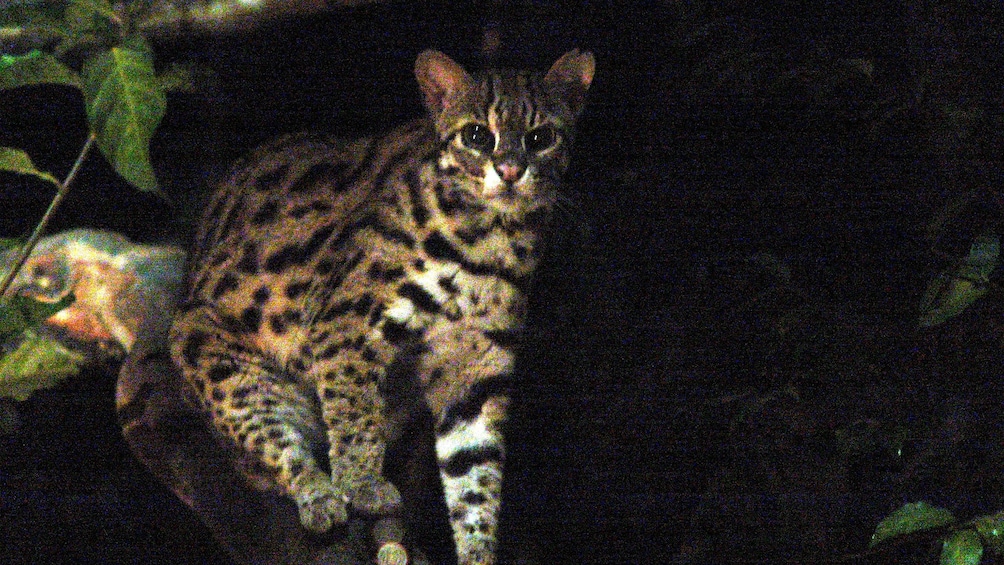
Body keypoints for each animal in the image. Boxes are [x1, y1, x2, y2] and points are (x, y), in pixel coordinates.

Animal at [170, 49, 594, 565]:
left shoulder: (477, 366)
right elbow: (354, 412)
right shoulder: (344, 321)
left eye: (541, 138)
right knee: (278, 447)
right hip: (209, 350)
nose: (511, 171)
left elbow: (476, 476)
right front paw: (362, 484)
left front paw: (478, 551)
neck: (493, 239)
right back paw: (318, 494)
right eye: (477, 135)